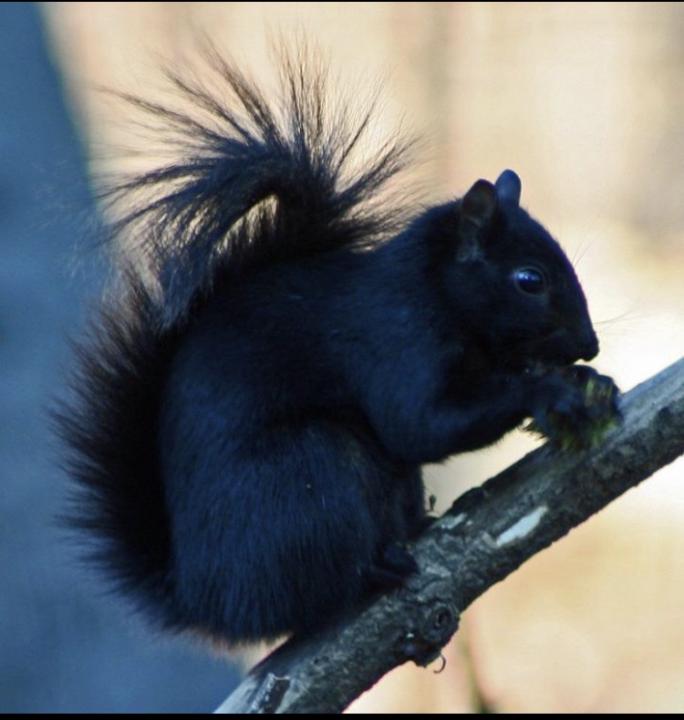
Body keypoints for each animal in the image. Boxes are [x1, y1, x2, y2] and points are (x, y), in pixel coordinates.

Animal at [58, 47, 620, 645]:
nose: (589, 346)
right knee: (316, 588)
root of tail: (208, 600)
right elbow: (419, 424)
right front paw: (550, 392)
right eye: (529, 280)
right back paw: (375, 569)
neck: (433, 290)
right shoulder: (394, 340)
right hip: (308, 474)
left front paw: (590, 384)